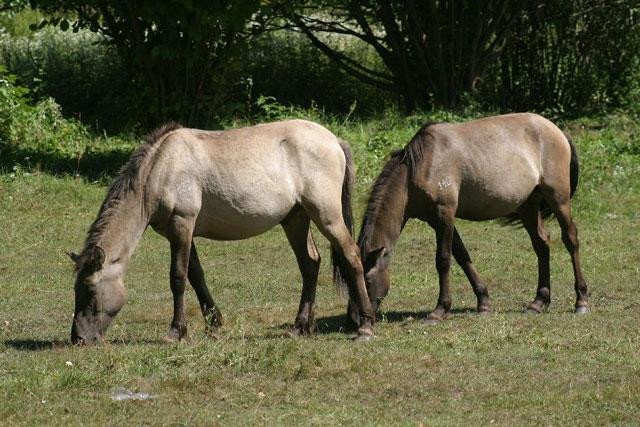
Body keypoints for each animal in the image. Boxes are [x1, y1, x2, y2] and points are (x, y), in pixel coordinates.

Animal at [66, 119, 376, 344]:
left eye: (90, 290)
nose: (78, 338)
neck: (161, 167)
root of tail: (334, 141)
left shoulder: (182, 224)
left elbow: (178, 278)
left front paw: (176, 332)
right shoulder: (180, 232)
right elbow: (196, 276)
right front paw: (214, 323)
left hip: (326, 216)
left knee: (352, 256)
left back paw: (365, 325)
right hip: (296, 219)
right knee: (310, 264)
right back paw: (300, 326)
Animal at [350, 113, 592, 328]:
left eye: (368, 280)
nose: (354, 320)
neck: (419, 167)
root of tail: (558, 131)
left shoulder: (444, 213)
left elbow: (443, 260)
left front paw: (439, 310)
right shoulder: (436, 220)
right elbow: (462, 256)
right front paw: (483, 302)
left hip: (558, 198)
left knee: (570, 239)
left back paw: (581, 300)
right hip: (528, 205)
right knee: (541, 243)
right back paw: (538, 302)